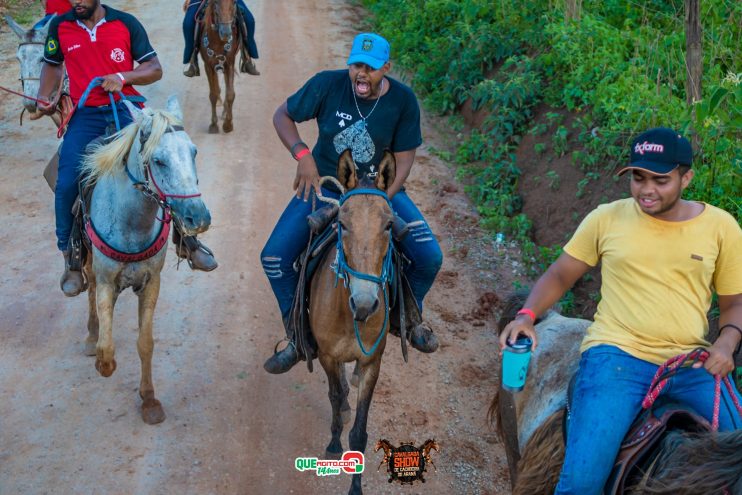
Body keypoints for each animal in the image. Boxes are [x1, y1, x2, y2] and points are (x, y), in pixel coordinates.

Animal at [80, 98, 211, 426]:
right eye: (159, 160)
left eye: (193, 152)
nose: (199, 217)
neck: (131, 223)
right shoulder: (106, 281)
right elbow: (106, 347)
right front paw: (103, 361)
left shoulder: (152, 282)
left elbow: (146, 343)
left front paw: (149, 400)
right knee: (87, 286)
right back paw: (90, 333)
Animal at [199, 0, 240, 134]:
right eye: (215, 2)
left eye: (234, 2)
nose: (226, 32)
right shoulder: (208, 65)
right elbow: (213, 94)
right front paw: (213, 124)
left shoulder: (229, 63)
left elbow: (230, 94)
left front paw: (228, 124)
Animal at [310, 149, 398, 494]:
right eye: (342, 224)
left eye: (389, 225)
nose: (364, 303)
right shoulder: (327, 356)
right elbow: (335, 398)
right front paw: (334, 443)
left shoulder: (373, 361)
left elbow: (360, 432)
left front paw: (356, 486)